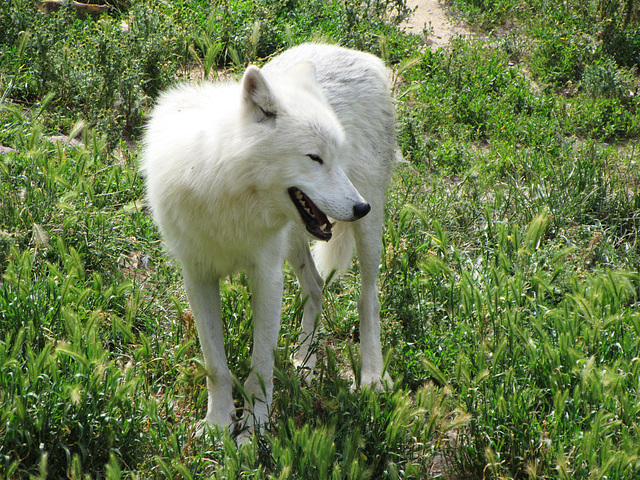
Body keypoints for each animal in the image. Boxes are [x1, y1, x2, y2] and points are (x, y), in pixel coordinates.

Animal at [142, 42, 398, 432]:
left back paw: (371, 375)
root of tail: (359, 54)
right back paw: (305, 362)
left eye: (336, 157)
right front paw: (218, 424)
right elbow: (215, 366)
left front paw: (253, 429)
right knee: (317, 286)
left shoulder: (267, 276)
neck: (225, 188)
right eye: (315, 158)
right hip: (295, 242)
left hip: (365, 234)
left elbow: (260, 367)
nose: (360, 207)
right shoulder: (198, 277)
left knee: (368, 298)